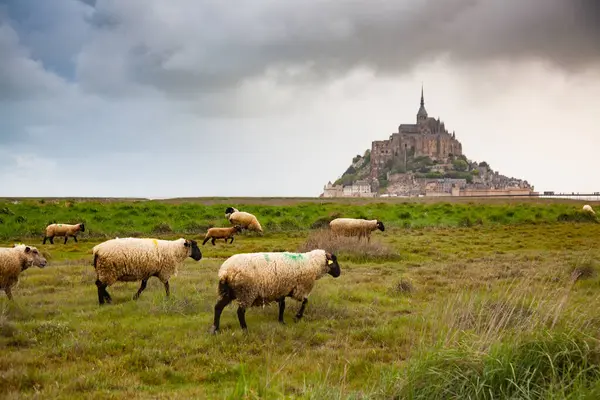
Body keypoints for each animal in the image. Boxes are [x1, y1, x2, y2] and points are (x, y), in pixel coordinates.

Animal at [210, 248, 342, 332]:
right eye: (334, 261)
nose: (339, 274)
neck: (312, 264)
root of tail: (225, 272)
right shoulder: (299, 289)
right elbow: (305, 301)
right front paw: (297, 317)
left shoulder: (282, 289)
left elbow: (282, 306)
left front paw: (281, 321)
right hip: (246, 292)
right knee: (240, 312)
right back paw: (245, 329)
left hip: (227, 292)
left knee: (218, 307)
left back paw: (215, 329)